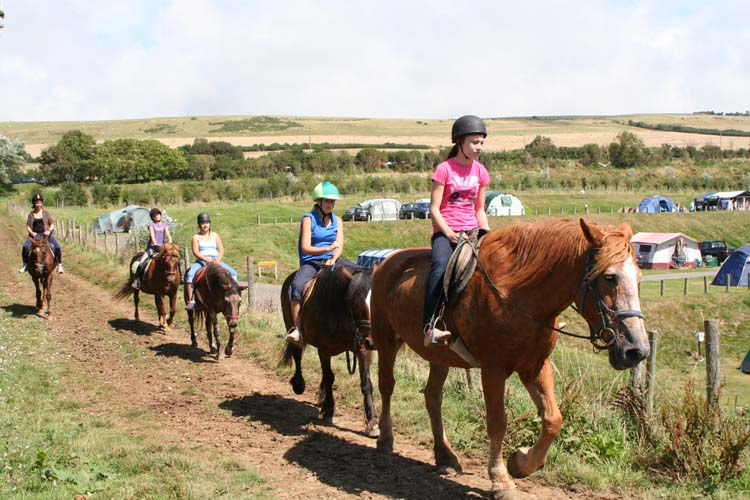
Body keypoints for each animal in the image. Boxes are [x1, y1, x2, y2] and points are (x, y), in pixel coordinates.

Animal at [280, 264, 378, 436]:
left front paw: (372, 422)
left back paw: (322, 397)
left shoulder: (361, 348)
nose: (371, 341)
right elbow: (329, 377)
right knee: (297, 355)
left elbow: (366, 383)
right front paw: (329, 409)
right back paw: (299, 384)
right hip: (290, 324)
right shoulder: (324, 349)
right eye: (354, 302)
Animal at [374, 219, 648, 500]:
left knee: (432, 397)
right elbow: (497, 422)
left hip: (440, 355)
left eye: (639, 279)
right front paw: (500, 480)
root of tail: (387, 261)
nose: (636, 350)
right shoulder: (493, 370)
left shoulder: (536, 366)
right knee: (386, 386)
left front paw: (522, 462)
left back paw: (446, 457)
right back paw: (385, 439)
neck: (518, 294)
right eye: (609, 277)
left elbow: (553, 419)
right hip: (386, 341)